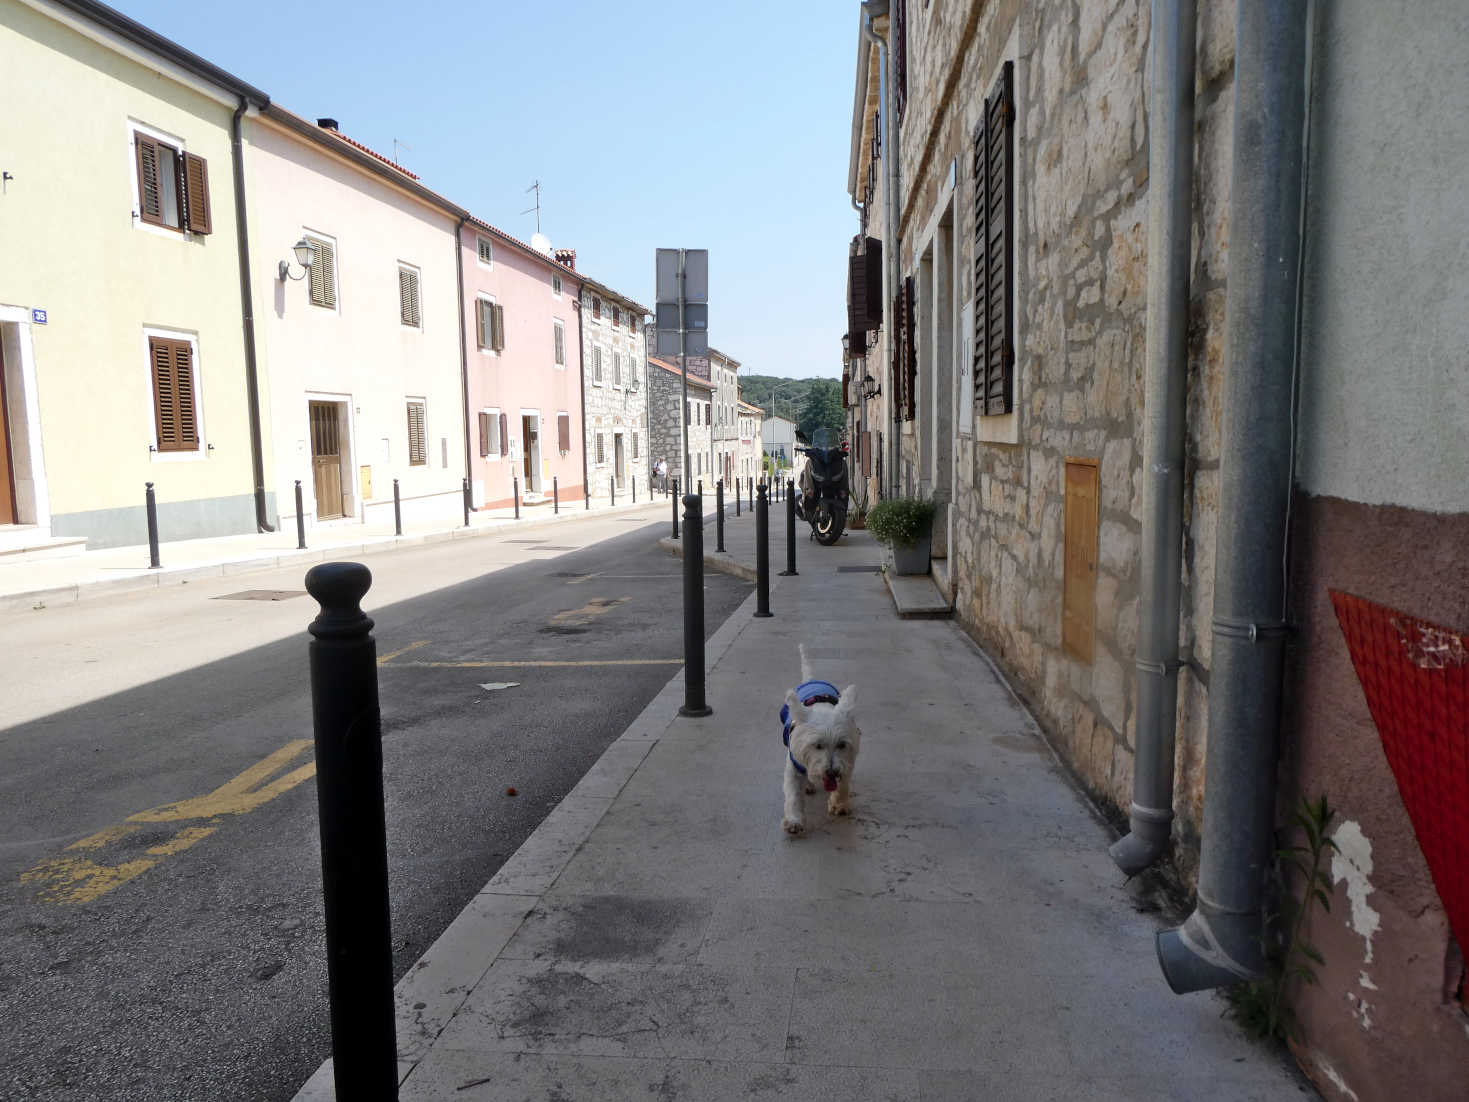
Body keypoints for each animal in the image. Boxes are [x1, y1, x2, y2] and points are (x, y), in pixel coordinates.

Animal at [781, 681, 857, 834]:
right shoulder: (794, 766)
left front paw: (839, 804)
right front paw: (794, 821)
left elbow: (843, 785)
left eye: (841, 744)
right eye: (818, 745)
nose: (832, 772)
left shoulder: (847, 762)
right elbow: (793, 793)